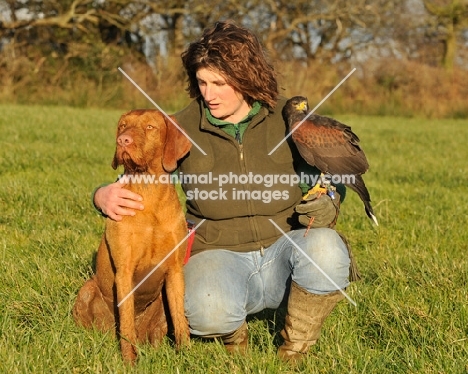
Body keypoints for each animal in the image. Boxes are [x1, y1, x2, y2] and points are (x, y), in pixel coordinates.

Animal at [72, 109, 191, 364]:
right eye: (122, 126)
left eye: (150, 127)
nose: (122, 140)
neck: (150, 193)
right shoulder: (124, 272)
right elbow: (126, 323)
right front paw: (129, 361)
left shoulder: (175, 270)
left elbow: (180, 320)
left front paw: (187, 355)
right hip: (88, 290)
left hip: (160, 306)